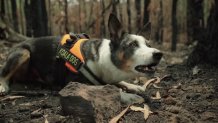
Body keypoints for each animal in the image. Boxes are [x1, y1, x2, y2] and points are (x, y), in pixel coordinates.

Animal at [0, 14, 162, 95]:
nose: (159, 54)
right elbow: (110, 84)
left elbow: (118, 82)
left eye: (149, 45)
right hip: (23, 53)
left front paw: (133, 86)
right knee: (4, 74)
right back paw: (3, 86)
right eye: (132, 45)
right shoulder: (76, 81)